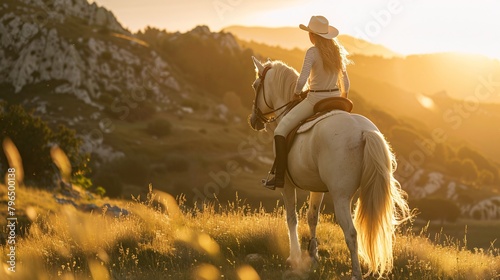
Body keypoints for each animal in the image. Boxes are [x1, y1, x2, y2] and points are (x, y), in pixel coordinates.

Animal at [249, 55, 410, 278]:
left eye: (256, 85)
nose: (254, 121)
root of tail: (364, 131)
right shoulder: (317, 188)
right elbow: (312, 217)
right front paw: (313, 256)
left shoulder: (286, 184)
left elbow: (291, 218)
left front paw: (294, 257)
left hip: (341, 196)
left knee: (351, 233)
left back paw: (356, 273)